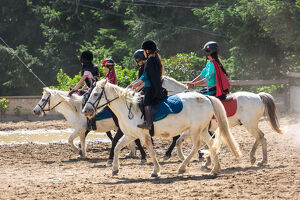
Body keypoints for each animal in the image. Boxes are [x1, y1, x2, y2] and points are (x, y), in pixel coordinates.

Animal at [82, 79, 241, 177]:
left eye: (95, 94)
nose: (85, 111)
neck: (129, 109)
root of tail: (206, 98)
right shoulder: (130, 135)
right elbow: (116, 147)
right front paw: (115, 169)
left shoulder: (144, 135)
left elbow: (151, 151)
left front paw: (155, 171)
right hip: (201, 130)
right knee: (211, 144)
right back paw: (215, 168)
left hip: (195, 130)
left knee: (196, 146)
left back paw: (183, 167)